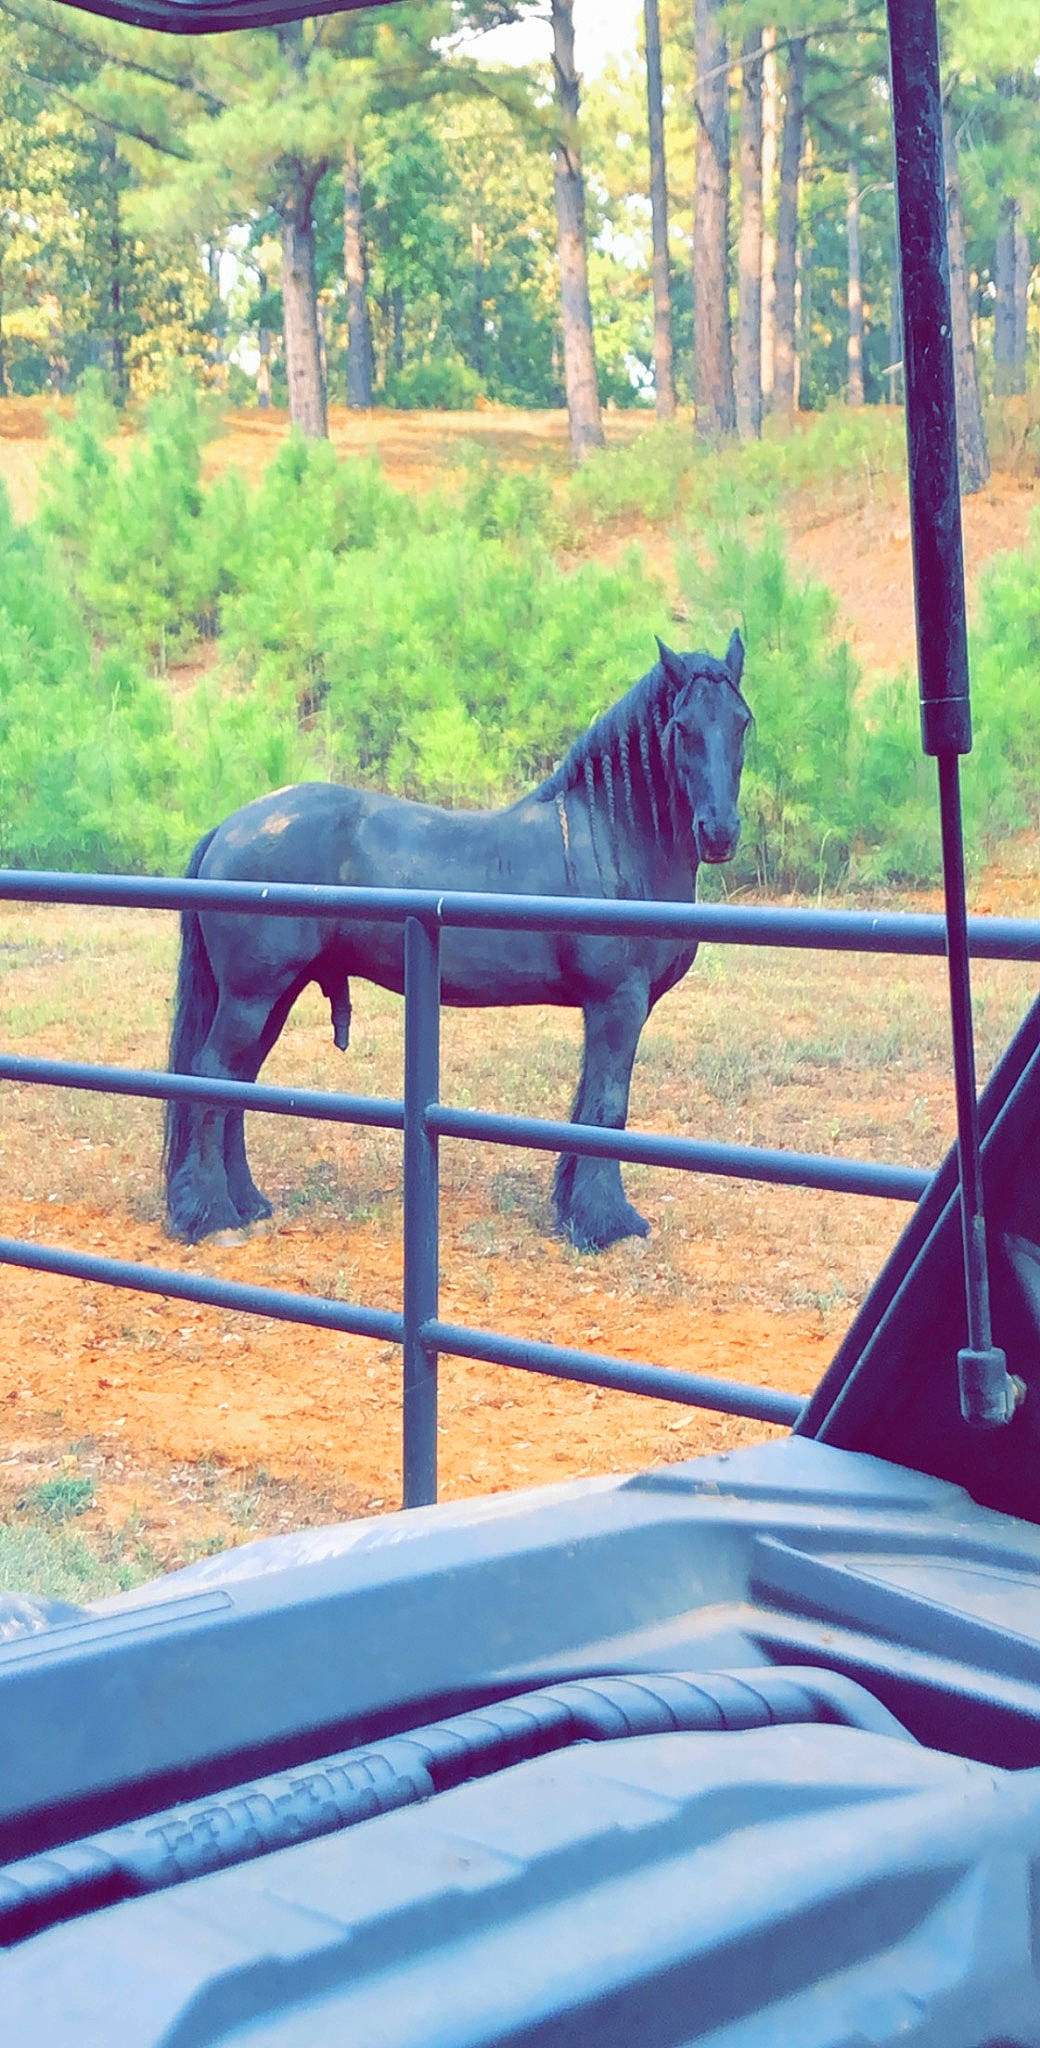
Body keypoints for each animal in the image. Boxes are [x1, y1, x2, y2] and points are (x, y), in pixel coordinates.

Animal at [163, 630, 751, 1252]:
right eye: (683, 726)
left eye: (741, 722)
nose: (719, 832)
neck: (610, 837)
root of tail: (228, 828)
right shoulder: (619, 1002)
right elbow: (608, 1107)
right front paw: (609, 1223)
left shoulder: (609, 1009)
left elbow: (589, 1102)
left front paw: (576, 1211)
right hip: (251, 996)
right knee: (213, 1075)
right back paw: (211, 1216)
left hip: (273, 995)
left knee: (238, 1084)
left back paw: (245, 1204)